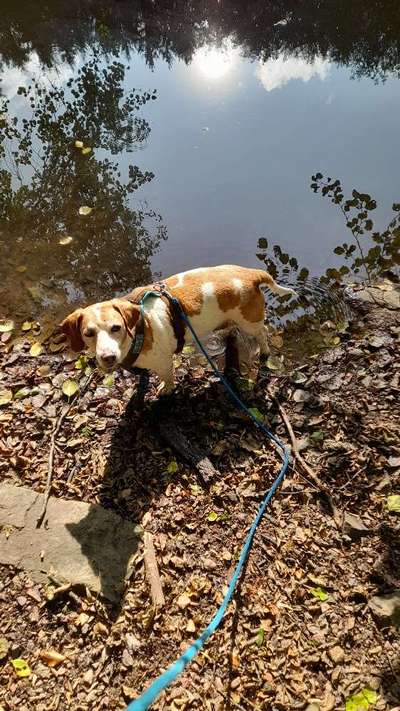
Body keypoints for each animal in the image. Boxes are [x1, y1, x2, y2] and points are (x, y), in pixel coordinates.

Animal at [61, 264, 294, 394]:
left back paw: (264, 352)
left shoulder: (164, 363)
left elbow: (167, 378)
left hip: (250, 323)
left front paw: (167, 389)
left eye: (116, 328)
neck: (139, 328)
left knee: (263, 334)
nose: (108, 357)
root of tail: (252, 274)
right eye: (88, 334)